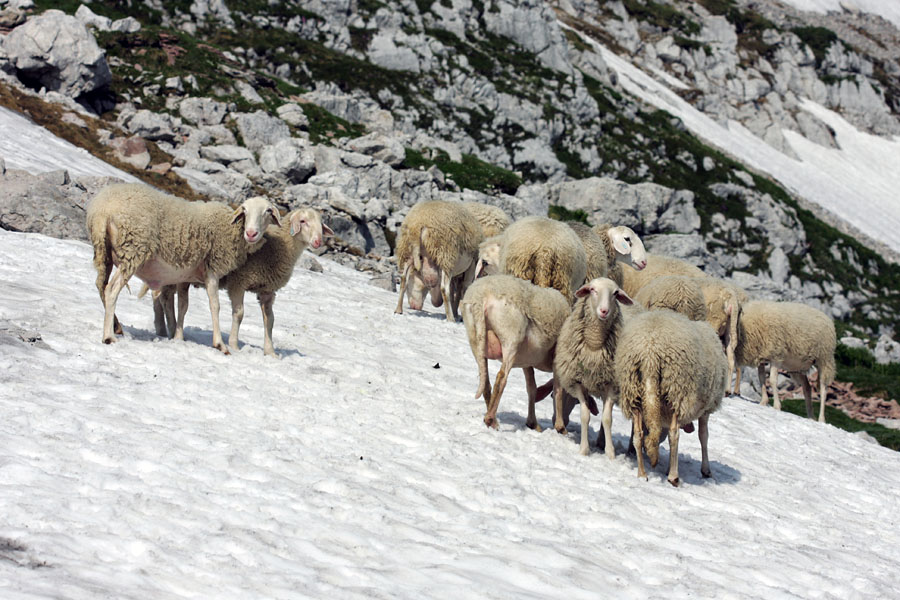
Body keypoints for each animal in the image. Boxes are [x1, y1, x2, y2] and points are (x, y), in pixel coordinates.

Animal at [88, 183, 280, 352]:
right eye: (244, 210)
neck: (231, 229)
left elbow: (182, 305)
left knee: (101, 286)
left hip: (103, 251)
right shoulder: (212, 269)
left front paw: (178, 336)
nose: (251, 233)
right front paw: (219, 344)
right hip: (133, 249)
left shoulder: (184, 276)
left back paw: (116, 326)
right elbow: (215, 305)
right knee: (111, 290)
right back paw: (109, 336)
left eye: (268, 211)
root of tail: (102, 210)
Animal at [464, 276, 568, 432]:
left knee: (485, 381)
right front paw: (560, 427)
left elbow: (532, 388)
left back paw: (492, 418)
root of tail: (481, 297)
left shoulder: (527, 361)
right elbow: (558, 390)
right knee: (501, 378)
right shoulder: (557, 358)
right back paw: (490, 419)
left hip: (475, 340)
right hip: (511, 338)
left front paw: (533, 423)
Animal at [556, 276, 632, 454]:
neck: (594, 347)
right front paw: (584, 449)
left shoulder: (612, 385)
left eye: (615, 293)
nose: (604, 311)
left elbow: (607, 419)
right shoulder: (577, 382)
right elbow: (585, 415)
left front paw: (610, 452)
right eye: (592, 290)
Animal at [616, 310, 728, 488]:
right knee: (674, 435)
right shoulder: (706, 409)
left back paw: (642, 473)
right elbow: (703, 436)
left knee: (638, 435)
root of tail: (650, 351)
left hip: (632, 390)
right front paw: (706, 470)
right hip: (677, 390)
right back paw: (673, 477)